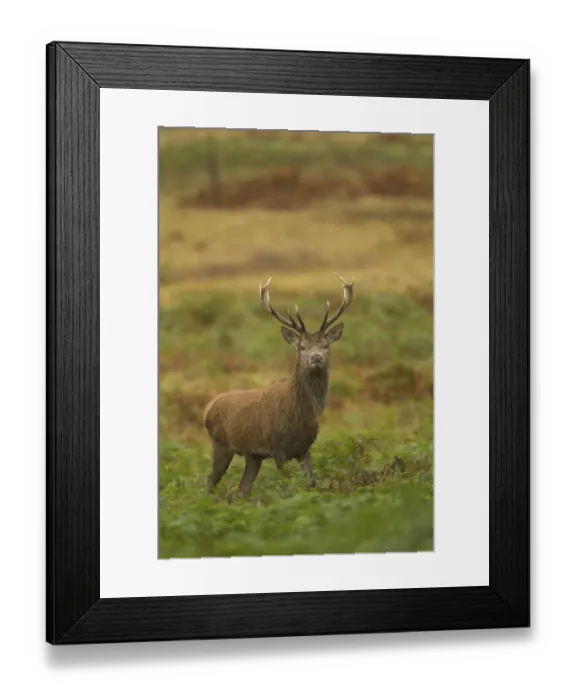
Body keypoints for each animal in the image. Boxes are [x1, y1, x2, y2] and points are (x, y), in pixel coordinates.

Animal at [202, 273, 354, 497]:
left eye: (325, 345)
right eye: (302, 347)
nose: (316, 357)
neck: (301, 415)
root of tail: (208, 407)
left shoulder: (304, 448)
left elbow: (312, 482)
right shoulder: (277, 446)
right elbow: (285, 483)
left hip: (252, 456)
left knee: (243, 488)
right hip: (221, 444)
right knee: (210, 481)